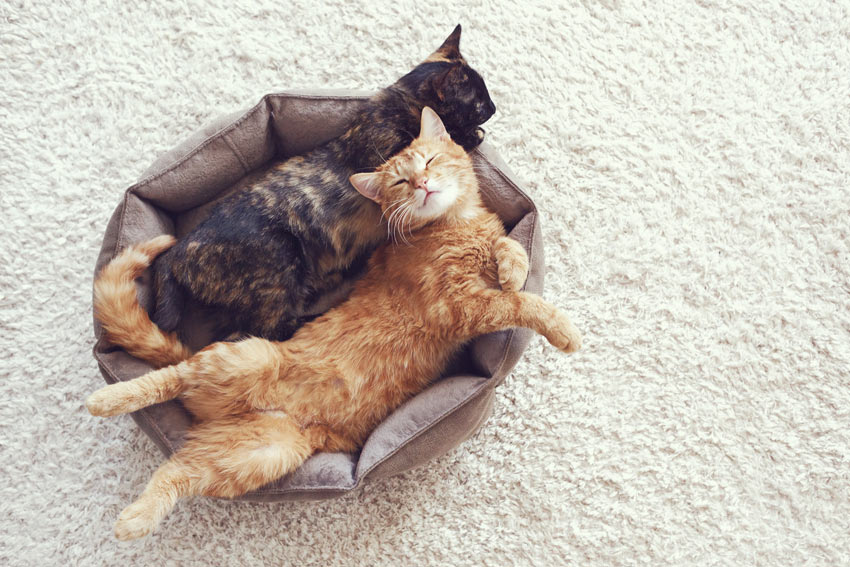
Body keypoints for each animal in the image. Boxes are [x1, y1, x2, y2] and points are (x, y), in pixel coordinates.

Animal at [89, 107, 580, 540]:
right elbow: (521, 304)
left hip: (260, 454)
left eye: (429, 161)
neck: (455, 225)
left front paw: (512, 266)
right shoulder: (459, 308)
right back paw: (107, 400)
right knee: (168, 377)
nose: (422, 184)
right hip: (248, 357)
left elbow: (510, 251)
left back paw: (136, 518)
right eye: (400, 181)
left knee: (176, 471)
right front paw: (562, 328)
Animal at [152, 26, 496, 342]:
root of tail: (180, 248)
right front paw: (469, 135)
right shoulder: (382, 156)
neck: (403, 101)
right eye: (478, 101)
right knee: (267, 330)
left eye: (487, 92)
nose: (494, 108)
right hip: (280, 254)